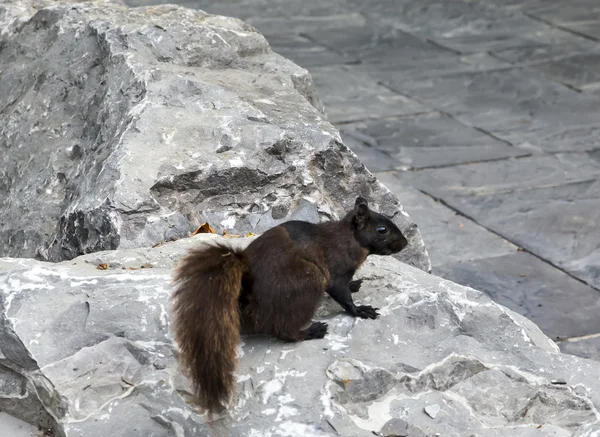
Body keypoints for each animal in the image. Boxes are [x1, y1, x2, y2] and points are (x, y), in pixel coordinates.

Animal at [171, 196, 410, 414]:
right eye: (382, 230)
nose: (405, 243)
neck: (348, 237)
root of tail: (246, 303)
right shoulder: (336, 267)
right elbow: (341, 294)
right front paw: (360, 310)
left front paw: (355, 285)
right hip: (308, 282)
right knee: (284, 331)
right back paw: (311, 331)